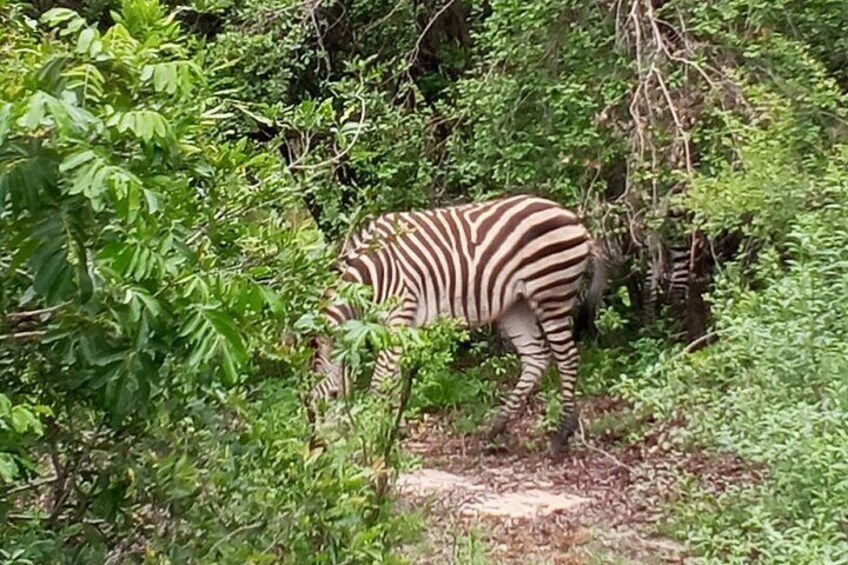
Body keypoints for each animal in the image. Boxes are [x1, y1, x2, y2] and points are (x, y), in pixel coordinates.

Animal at [308, 194, 606, 454]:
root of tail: (576, 219)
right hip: (516, 306)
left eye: (333, 395)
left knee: (567, 358)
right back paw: (494, 430)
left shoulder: (399, 315)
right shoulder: (394, 327)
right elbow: (394, 379)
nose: (318, 447)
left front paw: (372, 433)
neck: (372, 272)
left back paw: (561, 435)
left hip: (550, 294)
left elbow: (381, 380)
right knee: (537, 357)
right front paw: (389, 429)